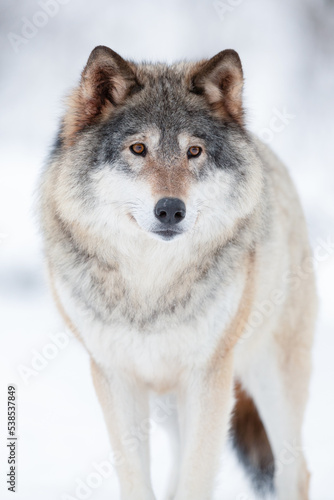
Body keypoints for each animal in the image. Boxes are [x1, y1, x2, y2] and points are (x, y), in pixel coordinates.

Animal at [39, 47, 316, 500]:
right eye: (138, 148)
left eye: (194, 152)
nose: (170, 209)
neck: (151, 286)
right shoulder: (115, 376)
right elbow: (138, 480)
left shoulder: (208, 377)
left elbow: (196, 478)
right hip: (171, 402)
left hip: (270, 380)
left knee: (297, 471)